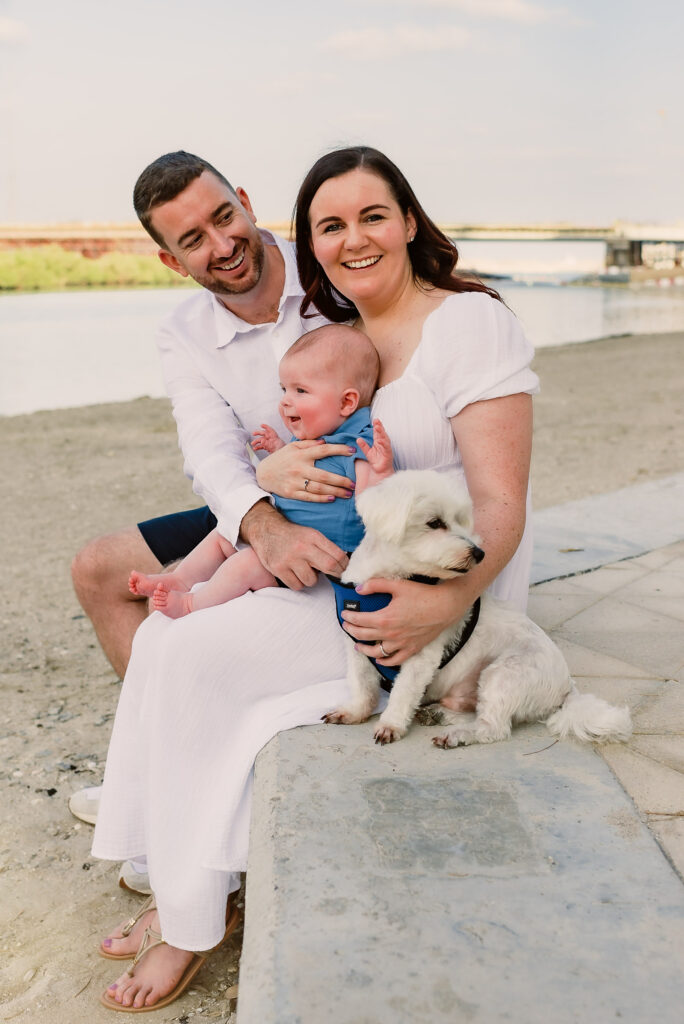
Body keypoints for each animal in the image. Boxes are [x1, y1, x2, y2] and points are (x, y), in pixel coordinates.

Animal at [323, 468, 634, 749]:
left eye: (462, 521)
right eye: (434, 522)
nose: (479, 553)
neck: (394, 580)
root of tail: (566, 687)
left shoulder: (420, 651)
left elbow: (402, 692)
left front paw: (390, 724)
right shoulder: (357, 645)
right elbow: (361, 683)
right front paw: (356, 712)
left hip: (503, 674)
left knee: (493, 728)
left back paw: (458, 735)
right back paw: (440, 714)